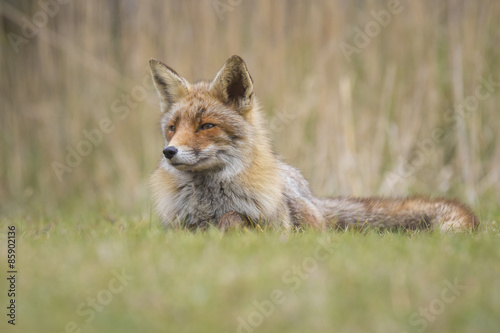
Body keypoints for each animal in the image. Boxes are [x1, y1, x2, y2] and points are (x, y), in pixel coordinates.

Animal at [147, 55, 476, 231]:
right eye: (173, 129)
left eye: (206, 126)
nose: (169, 152)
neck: (210, 202)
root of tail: (310, 192)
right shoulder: (177, 229)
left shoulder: (275, 228)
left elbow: (232, 218)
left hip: (306, 217)